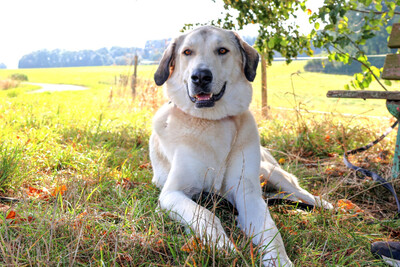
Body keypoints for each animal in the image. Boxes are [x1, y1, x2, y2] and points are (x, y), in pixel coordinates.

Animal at [150, 25, 332, 267]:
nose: (200, 76)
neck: (213, 121)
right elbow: (207, 215)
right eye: (187, 52)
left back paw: (324, 204)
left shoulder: (247, 194)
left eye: (222, 50)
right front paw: (222, 245)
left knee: (300, 192)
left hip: (272, 174)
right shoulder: (172, 194)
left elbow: (271, 231)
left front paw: (279, 260)